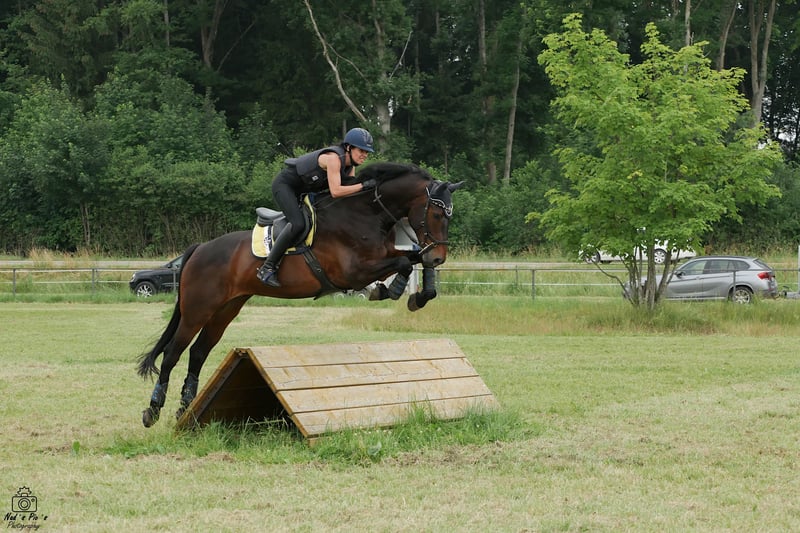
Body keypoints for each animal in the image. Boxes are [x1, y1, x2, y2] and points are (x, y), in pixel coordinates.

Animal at [137, 162, 464, 427]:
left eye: (449, 215)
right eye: (437, 213)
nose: (440, 257)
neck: (365, 214)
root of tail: (199, 249)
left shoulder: (382, 256)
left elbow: (412, 259)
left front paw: (418, 295)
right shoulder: (352, 272)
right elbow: (404, 262)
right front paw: (391, 290)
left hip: (225, 309)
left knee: (199, 352)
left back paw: (186, 409)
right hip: (197, 309)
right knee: (172, 353)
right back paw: (153, 410)